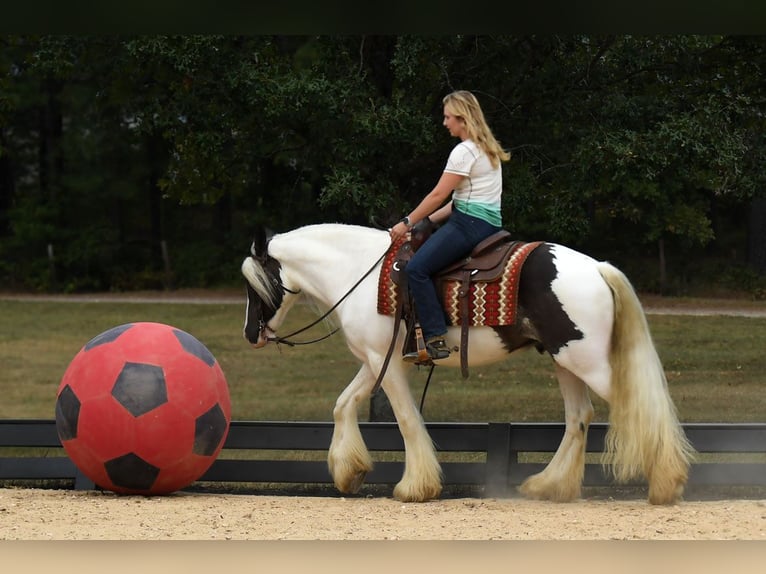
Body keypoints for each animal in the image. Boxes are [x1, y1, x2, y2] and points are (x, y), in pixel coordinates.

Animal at [243, 223, 700, 506]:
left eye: (255, 284)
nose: (251, 334)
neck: (360, 274)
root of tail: (597, 268)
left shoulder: (385, 364)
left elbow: (406, 420)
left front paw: (416, 486)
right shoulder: (378, 361)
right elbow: (342, 405)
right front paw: (348, 472)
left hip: (586, 362)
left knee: (636, 409)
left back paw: (667, 483)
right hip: (566, 360)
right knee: (579, 418)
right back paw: (549, 484)